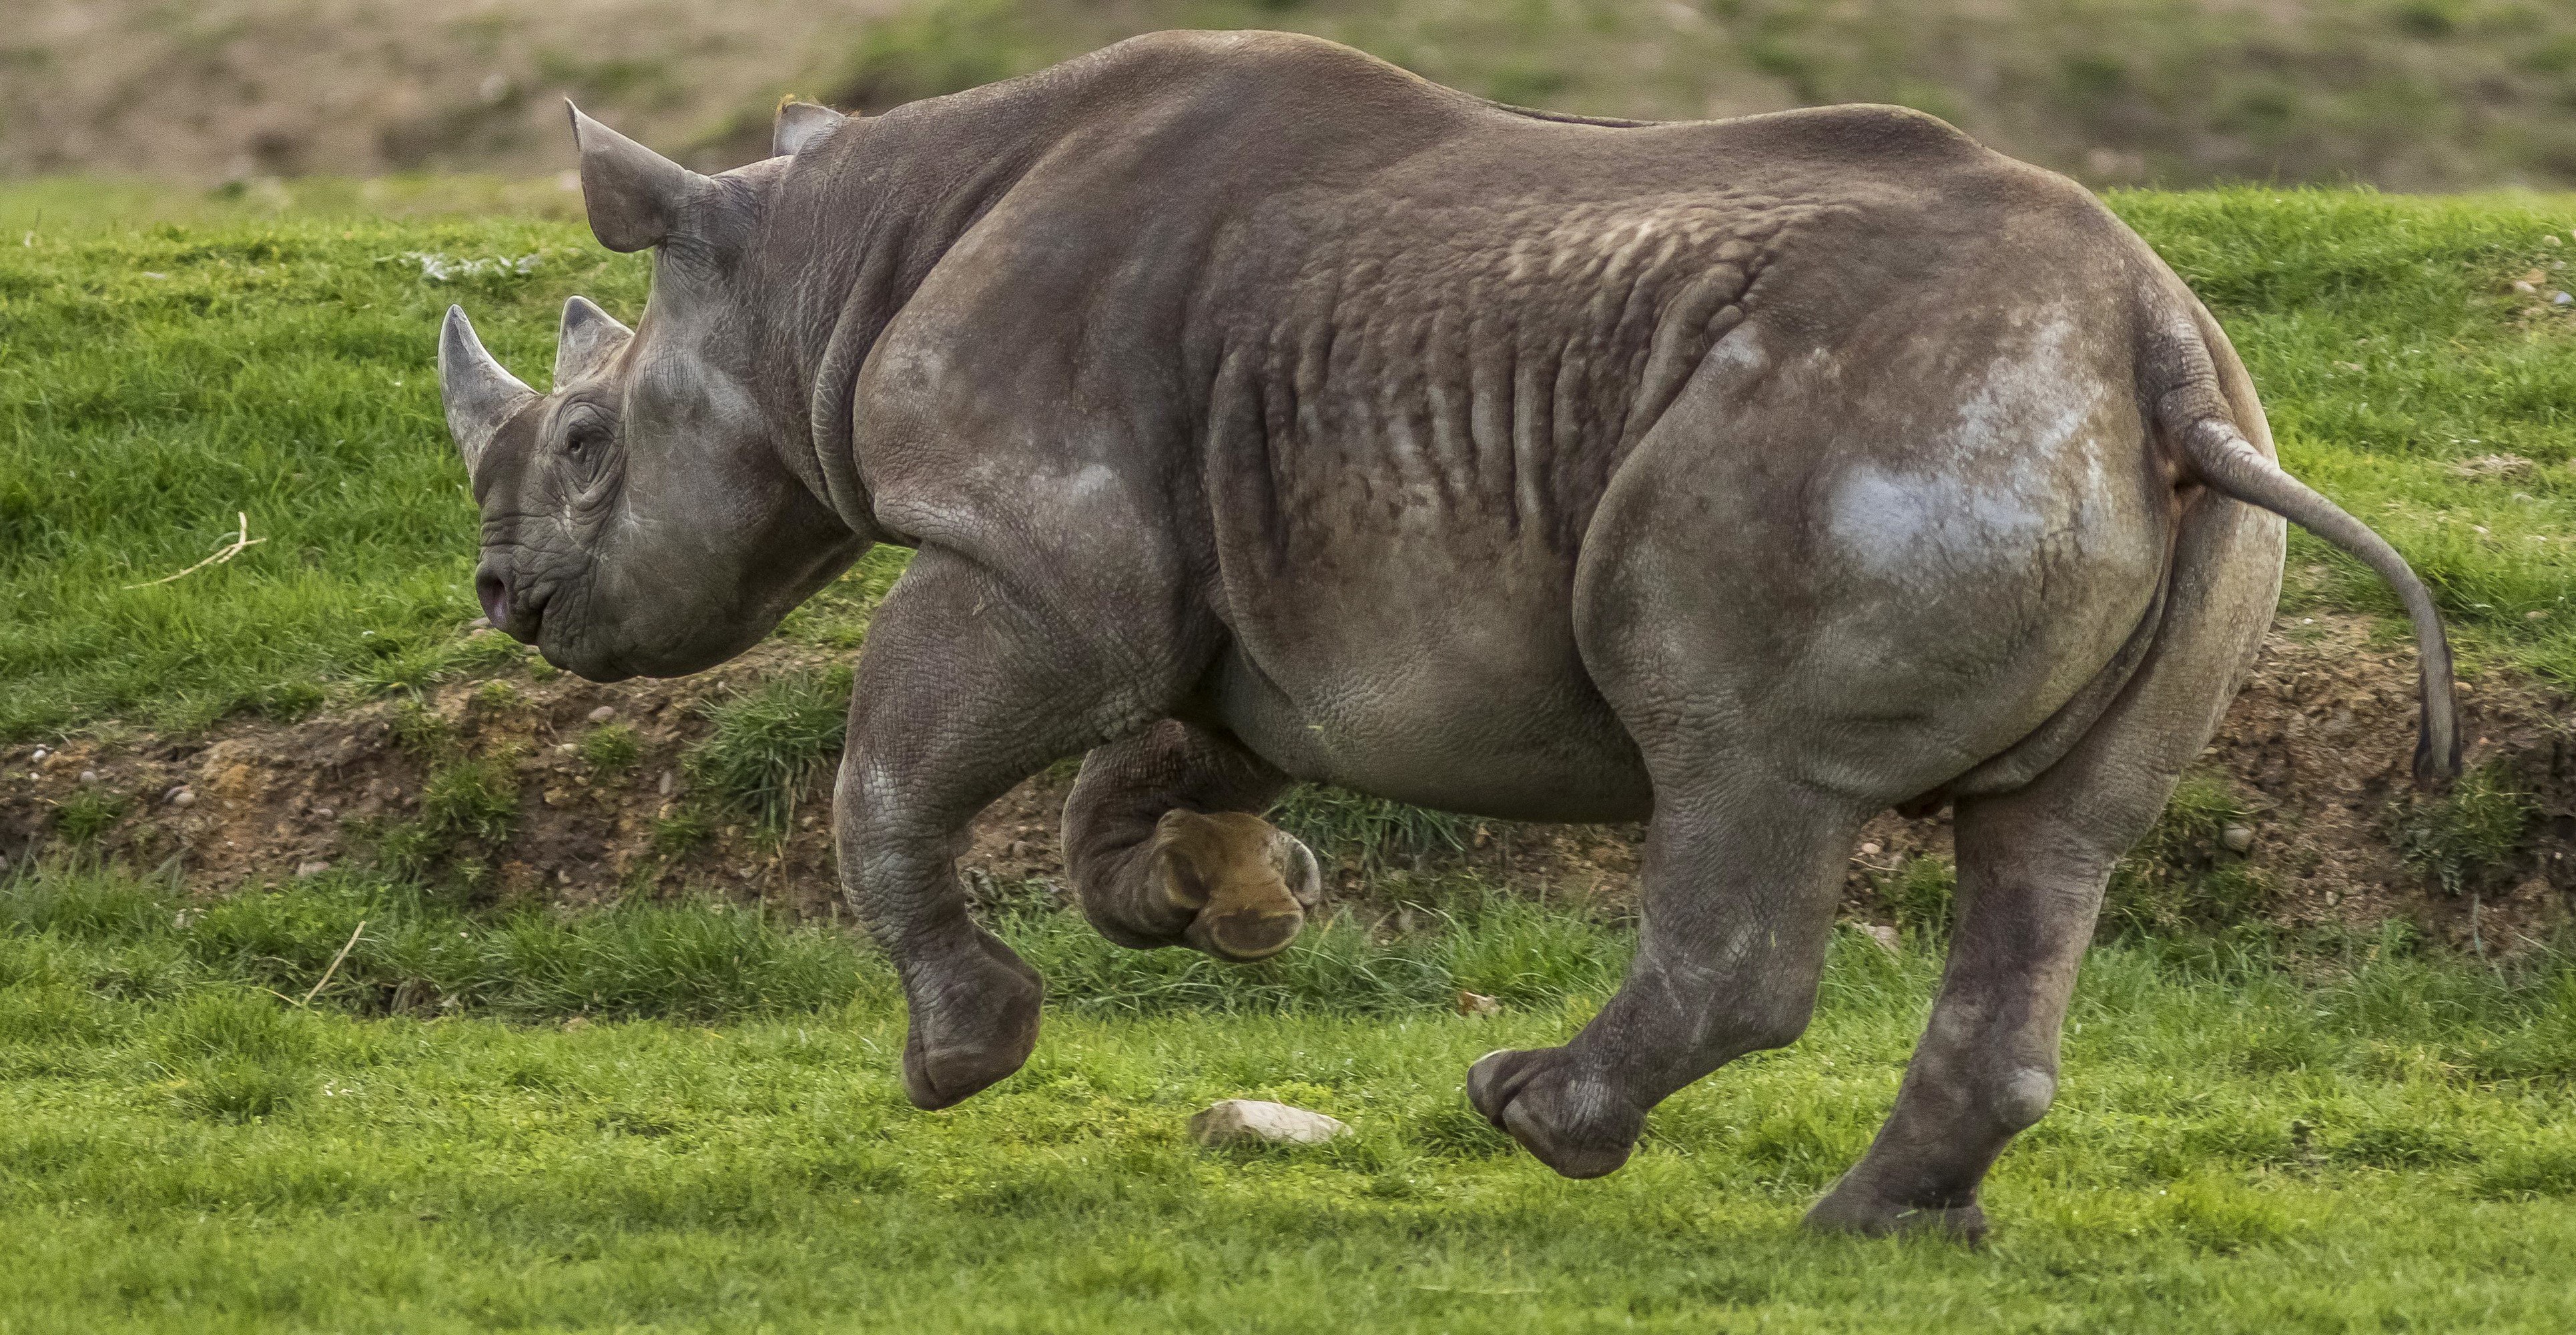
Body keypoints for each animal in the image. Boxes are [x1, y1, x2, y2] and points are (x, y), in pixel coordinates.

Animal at [436, 31, 2456, 1238]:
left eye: (590, 442)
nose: (503, 599)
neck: (823, 272)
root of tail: (2153, 349)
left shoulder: (1035, 547)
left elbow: (888, 770)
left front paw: (962, 1055)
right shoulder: (1217, 579)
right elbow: (1145, 767)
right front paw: (1235, 903)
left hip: (1870, 428)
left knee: (1744, 765)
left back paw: (1537, 1117)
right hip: (2162, 449)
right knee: (2054, 839)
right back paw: (1868, 1229)